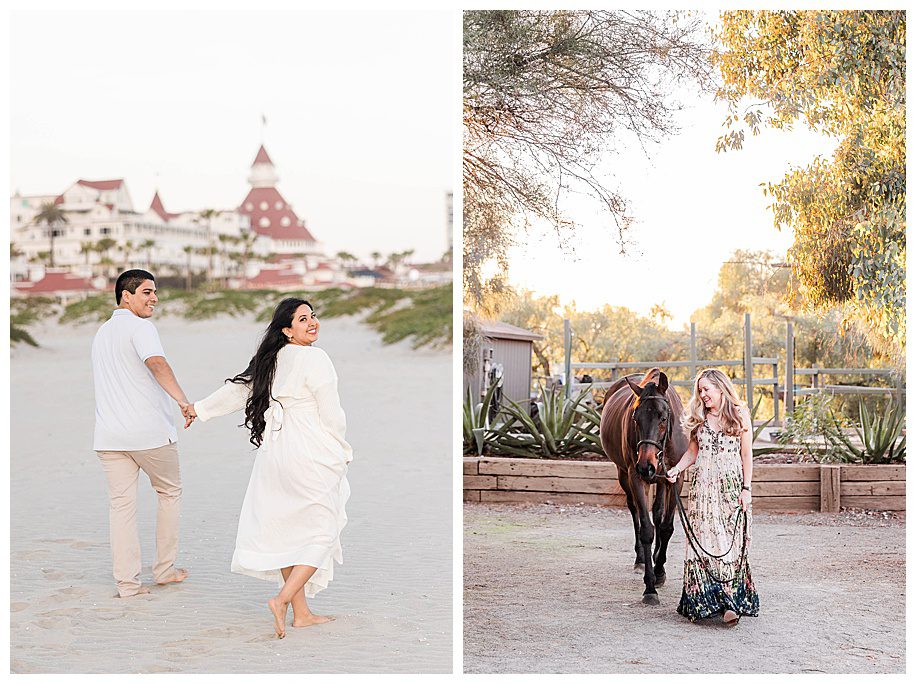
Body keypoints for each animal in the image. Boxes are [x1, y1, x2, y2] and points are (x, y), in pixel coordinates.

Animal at [600, 368, 688, 604]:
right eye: (635, 418)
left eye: (663, 417)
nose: (646, 465)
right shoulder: (636, 477)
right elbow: (647, 529)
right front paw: (650, 586)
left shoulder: (675, 478)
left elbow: (665, 526)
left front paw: (659, 571)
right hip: (624, 474)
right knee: (635, 511)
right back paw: (641, 558)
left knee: (657, 513)